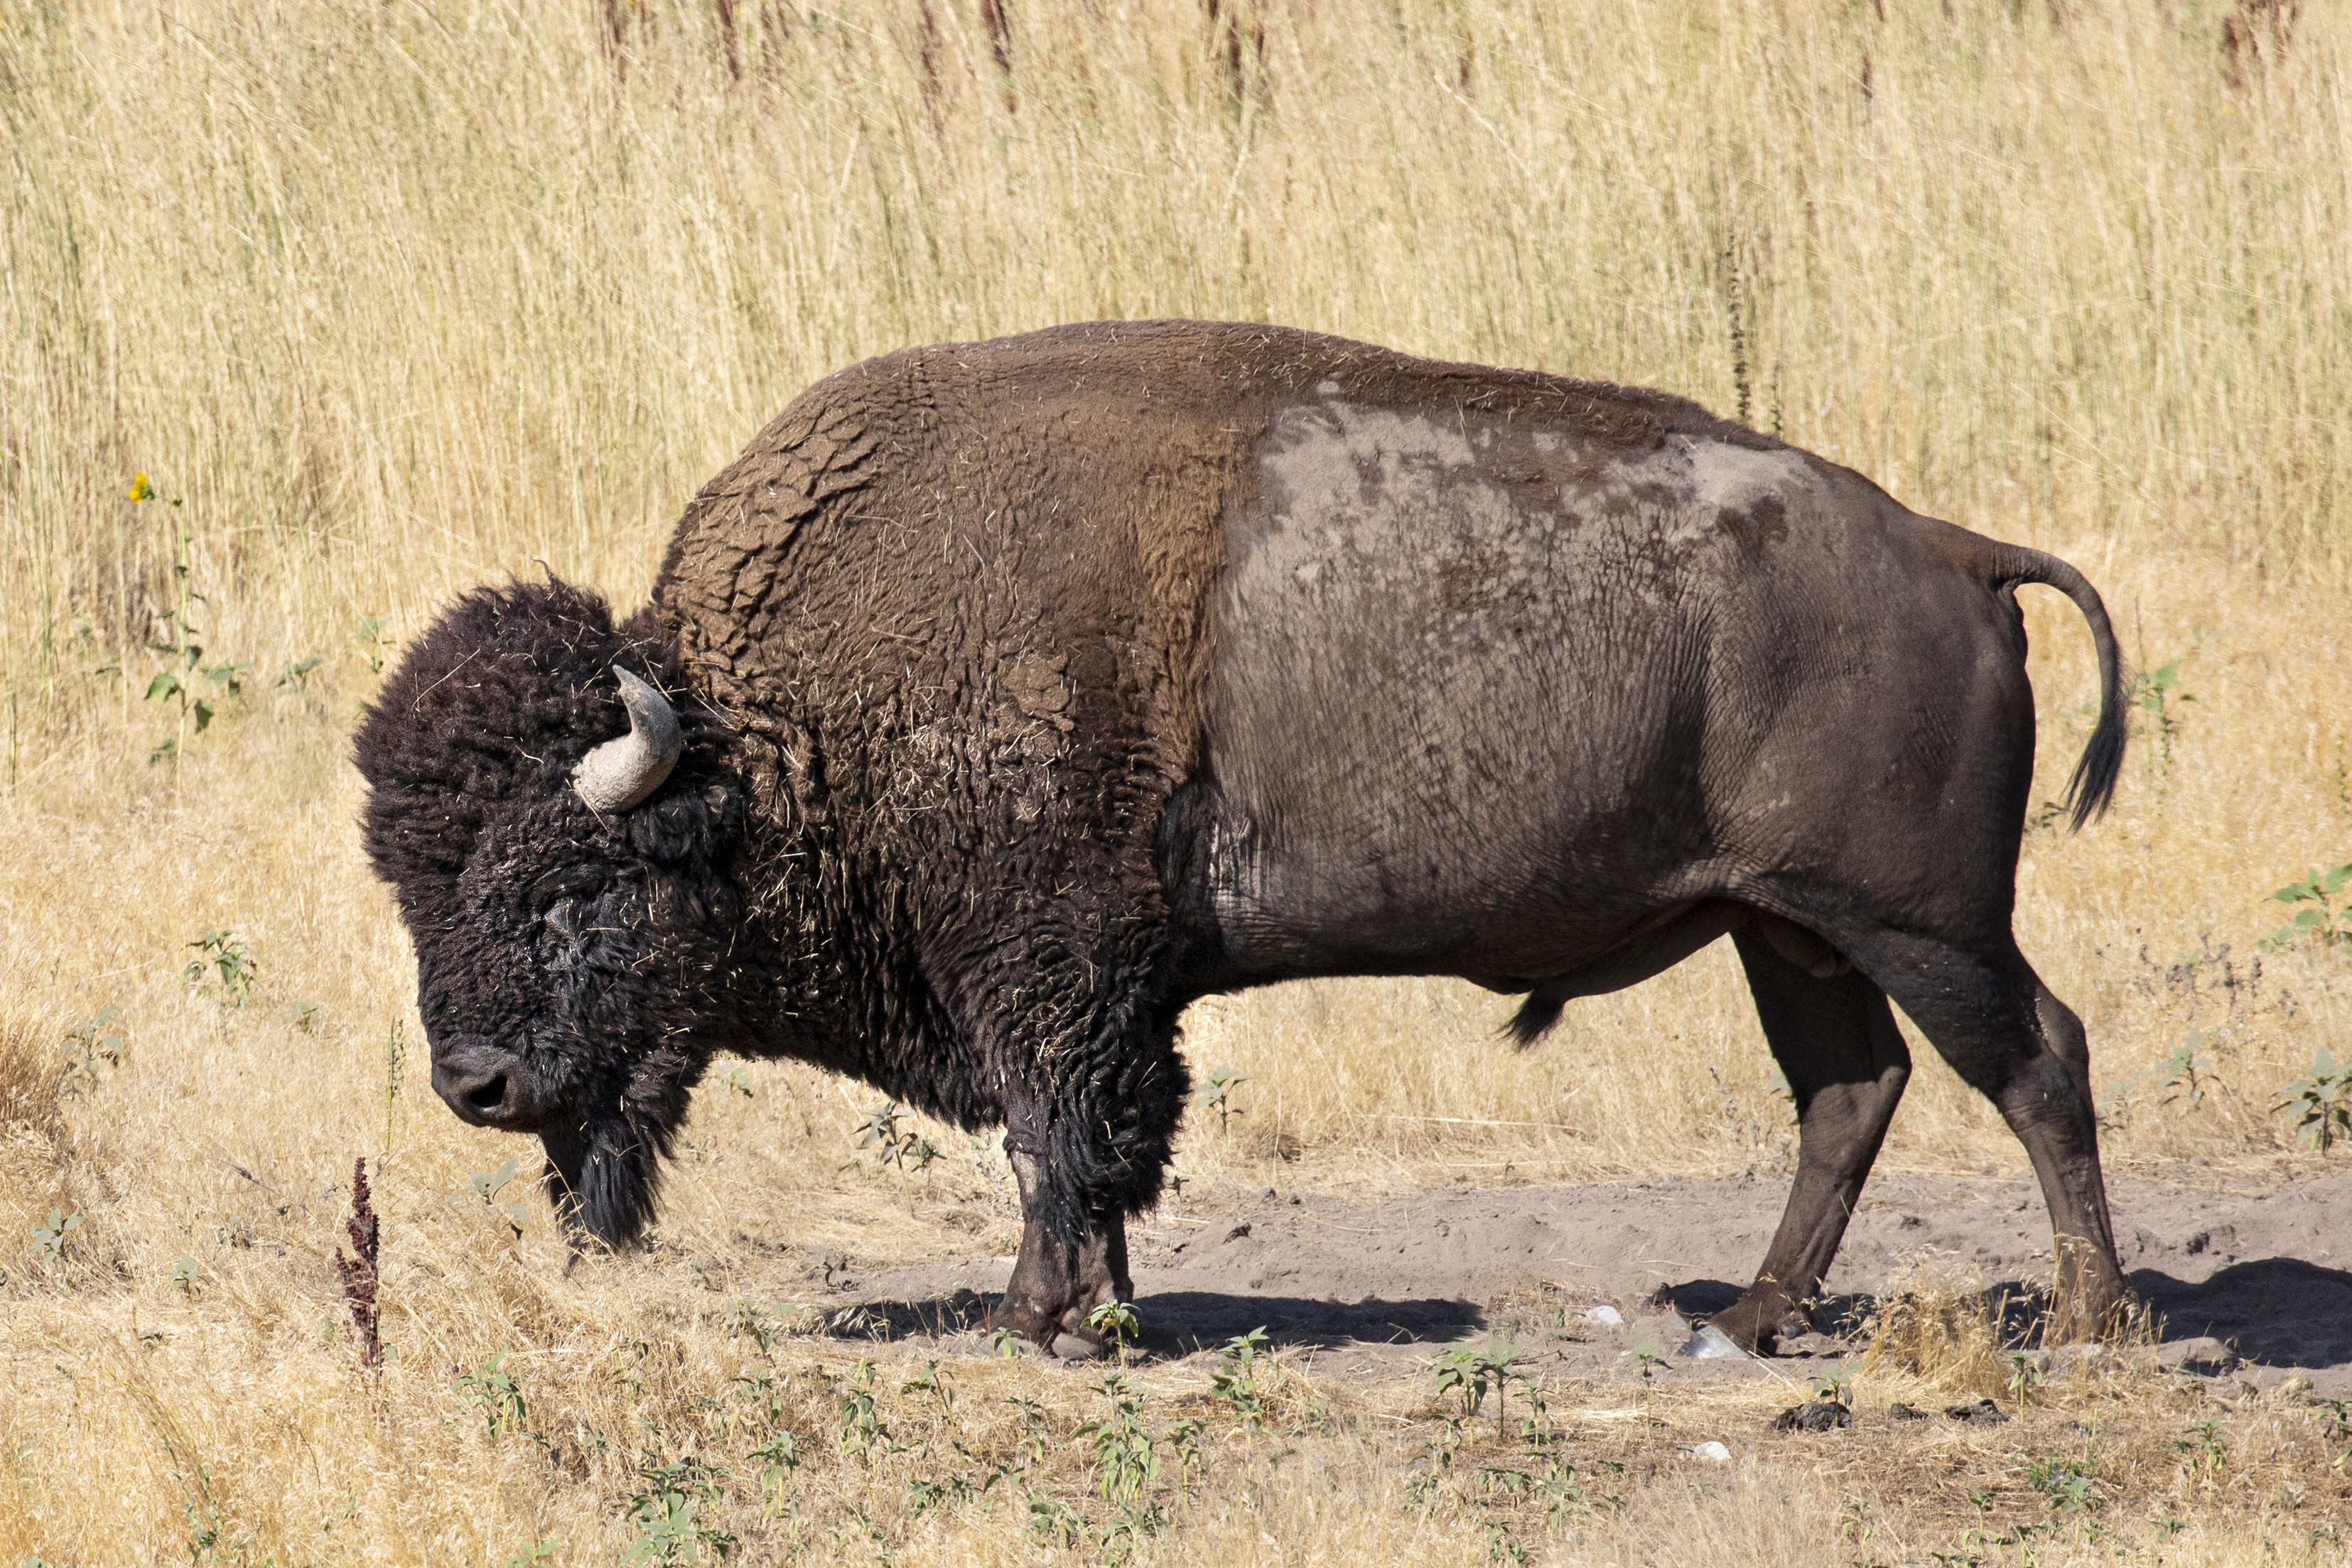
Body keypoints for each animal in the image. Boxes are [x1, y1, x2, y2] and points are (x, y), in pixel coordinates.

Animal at [357, 322, 2145, 1363]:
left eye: (567, 888)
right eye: (411, 883)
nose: (474, 1084)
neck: (761, 737)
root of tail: (1948, 550)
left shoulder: (1050, 973)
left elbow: (1057, 1132)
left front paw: (1036, 1320)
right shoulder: (1108, 992)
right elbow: (1099, 1149)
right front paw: (1103, 1307)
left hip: (1913, 918)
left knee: (2034, 1058)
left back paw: (2084, 1319)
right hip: (1785, 927)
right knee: (1850, 1090)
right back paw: (1751, 1317)